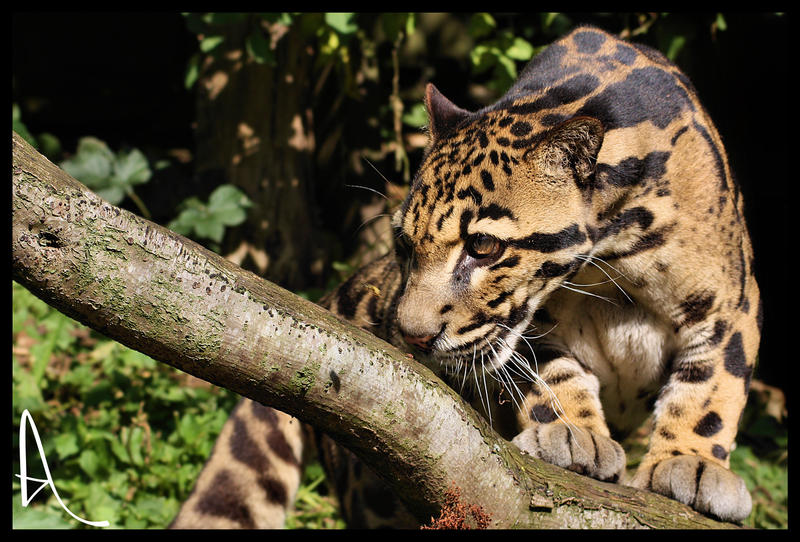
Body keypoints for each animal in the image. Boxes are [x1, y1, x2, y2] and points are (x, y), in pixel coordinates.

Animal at [171, 25, 761, 528]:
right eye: (404, 244)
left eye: (483, 247)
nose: (410, 336)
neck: (606, 263)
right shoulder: (527, 325)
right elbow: (542, 367)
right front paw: (570, 431)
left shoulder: (731, 301)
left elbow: (712, 386)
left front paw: (691, 462)